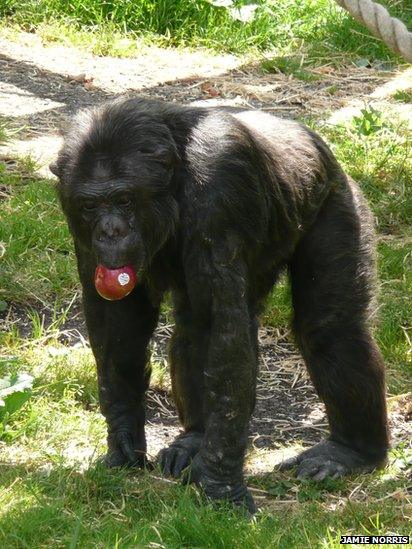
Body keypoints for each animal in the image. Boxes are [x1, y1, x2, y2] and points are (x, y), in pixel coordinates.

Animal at [50, 96, 388, 512]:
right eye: (90, 206)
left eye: (124, 199)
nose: (110, 231)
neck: (173, 184)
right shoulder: (76, 221)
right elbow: (118, 322)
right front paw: (124, 437)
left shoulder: (219, 192)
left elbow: (226, 334)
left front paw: (221, 487)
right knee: (195, 327)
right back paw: (194, 440)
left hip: (338, 204)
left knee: (332, 331)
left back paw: (351, 452)